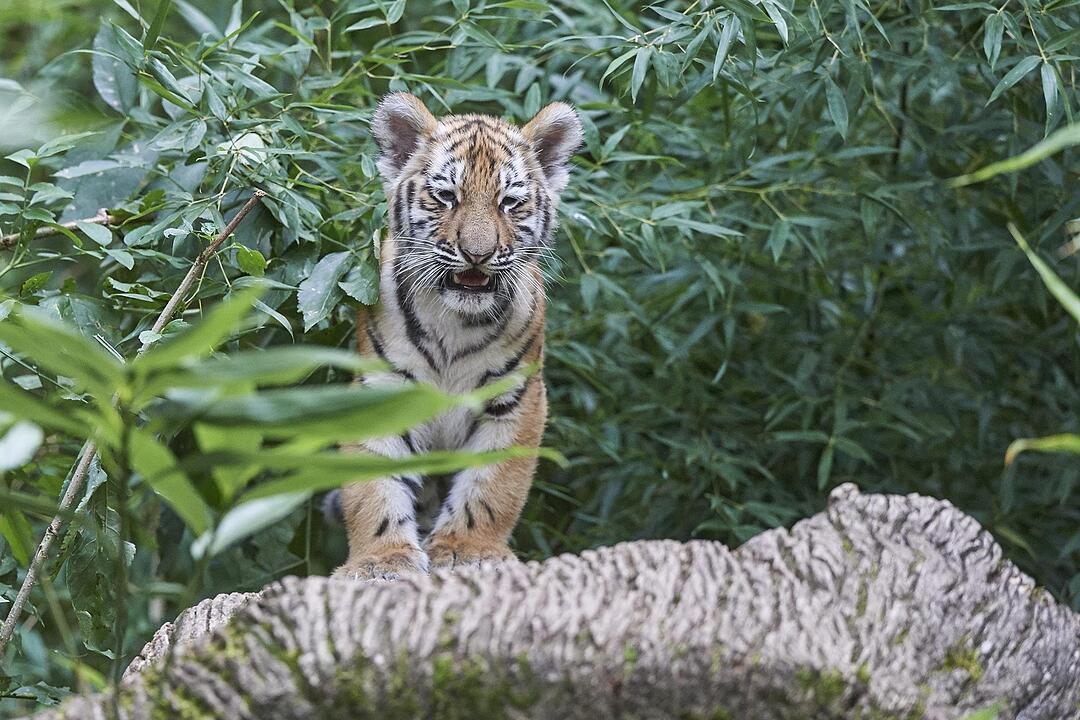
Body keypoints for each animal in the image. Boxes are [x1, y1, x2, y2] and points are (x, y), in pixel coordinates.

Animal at [332, 92, 582, 579]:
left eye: (509, 202)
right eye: (447, 196)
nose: (478, 254)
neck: (455, 322)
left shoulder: (517, 399)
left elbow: (492, 487)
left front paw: (469, 550)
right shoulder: (380, 390)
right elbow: (372, 491)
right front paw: (381, 561)